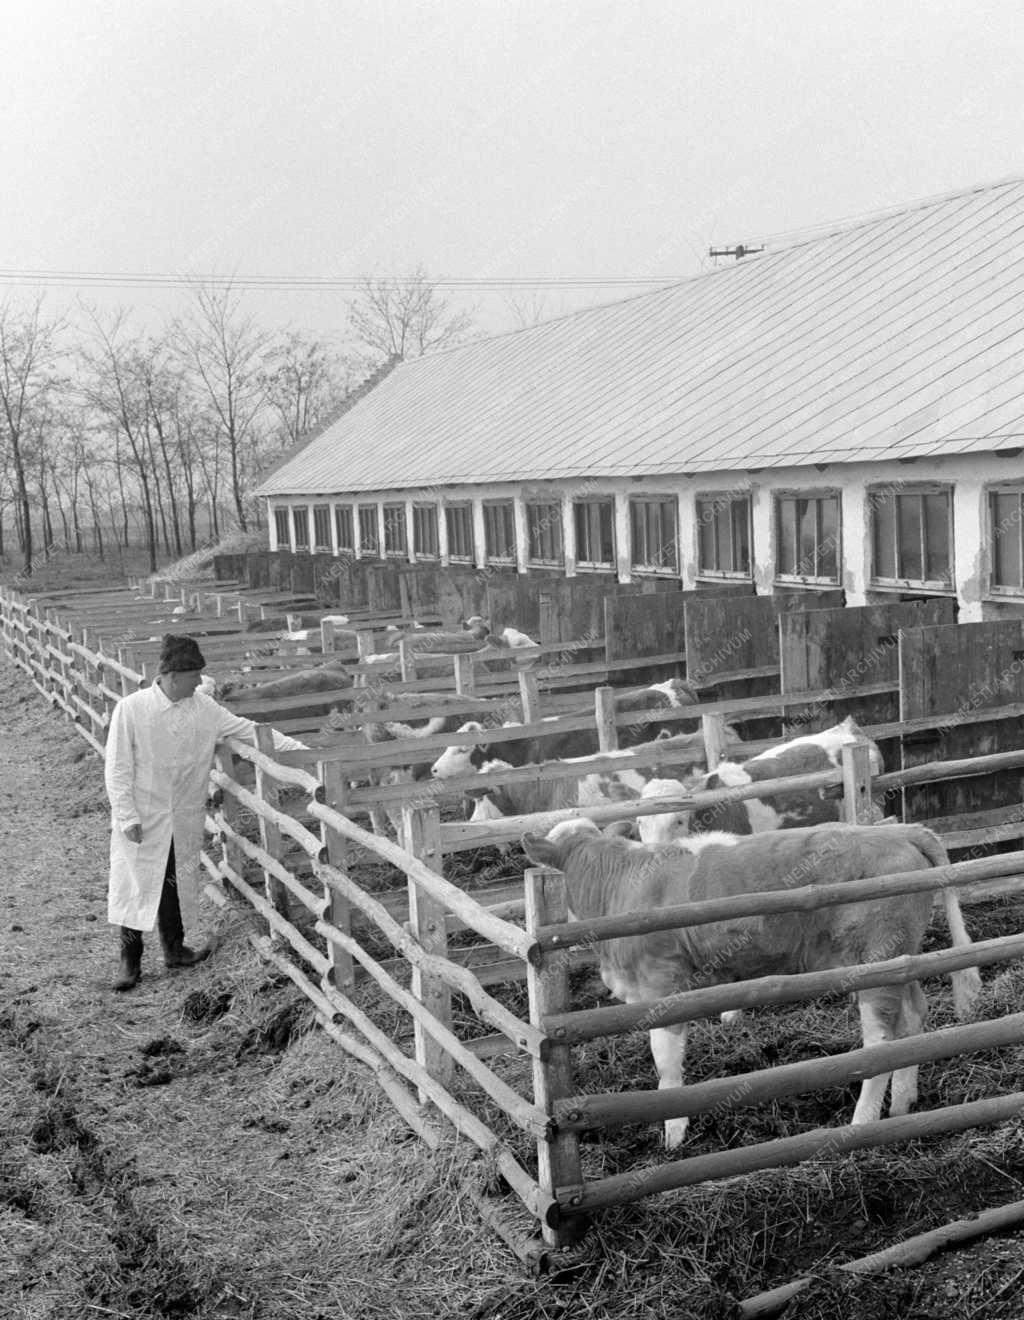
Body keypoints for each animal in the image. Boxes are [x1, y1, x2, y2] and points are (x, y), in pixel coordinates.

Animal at [525, 818, 981, 1151]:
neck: (621, 882)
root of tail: (897, 829)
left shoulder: (661, 984)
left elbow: (666, 1063)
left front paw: (673, 1133)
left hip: (875, 963)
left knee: (881, 1041)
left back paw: (863, 1121)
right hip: (902, 958)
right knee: (912, 1021)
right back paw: (903, 1104)